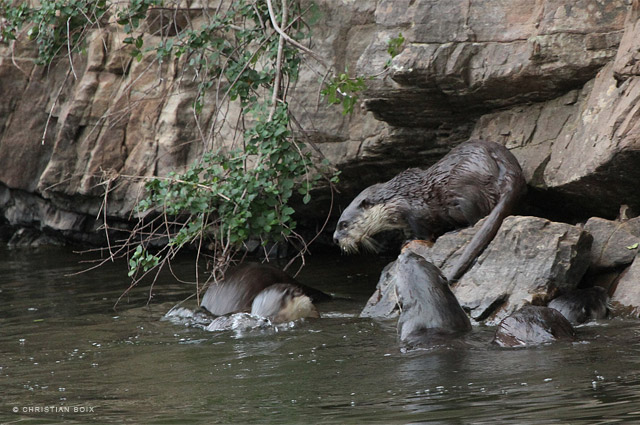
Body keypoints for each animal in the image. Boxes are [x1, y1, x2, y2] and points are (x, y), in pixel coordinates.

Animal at [332, 137, 524, 280]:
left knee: (478, 216)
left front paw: (411, 241)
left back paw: (457, 230)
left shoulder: (416, 211)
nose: (335, 239)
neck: (396, 199)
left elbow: (423, 231)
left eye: (344, 224)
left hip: (463, 184)